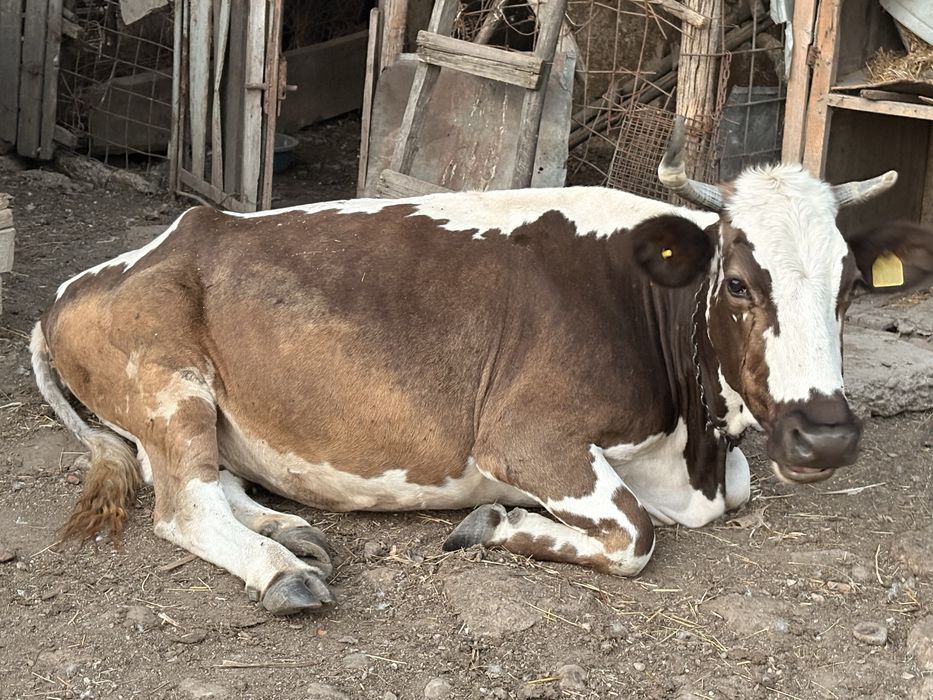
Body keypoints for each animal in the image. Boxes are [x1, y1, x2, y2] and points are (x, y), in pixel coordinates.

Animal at [31, 119, 933, 615]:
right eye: (739, 283)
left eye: (853, 283)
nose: (824, 436)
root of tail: (89, 276)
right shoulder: (525, 437)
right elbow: (634, 534)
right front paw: (495, 523)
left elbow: (727, 493)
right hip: (167, 381)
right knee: (183, 507)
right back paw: (283, 571)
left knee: (214, 483)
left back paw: (290, 531)